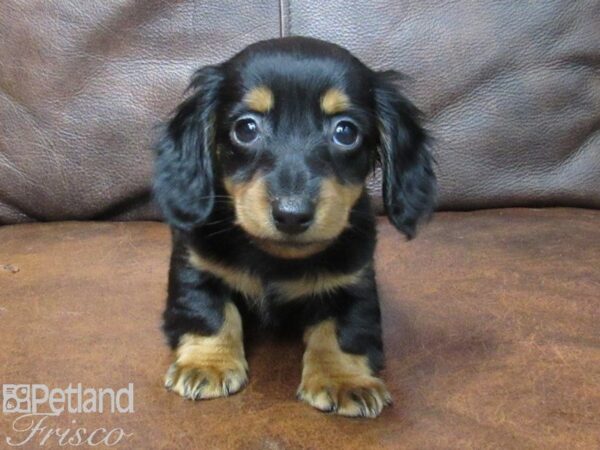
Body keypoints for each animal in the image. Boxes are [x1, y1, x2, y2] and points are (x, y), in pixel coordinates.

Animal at [154, 37, 436, 420]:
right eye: (246, 128)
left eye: (346, 131)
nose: (291, 214)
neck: (274, 259)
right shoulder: (195, 264)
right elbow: (208, 311)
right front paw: (207, 364)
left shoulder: (353, 280)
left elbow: (344, 330)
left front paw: (344, 380)